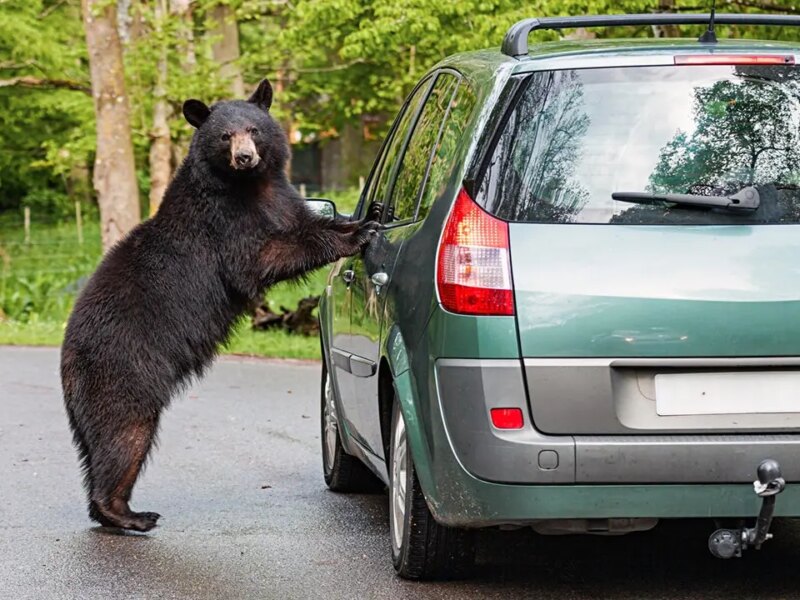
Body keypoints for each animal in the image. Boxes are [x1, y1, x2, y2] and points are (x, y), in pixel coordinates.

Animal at [60, 78, 377, 532]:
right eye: (225, 136)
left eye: (254, 129)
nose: (245, 157)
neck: (249, 186)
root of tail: (67, 356)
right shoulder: (223, 222)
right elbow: (260, 257)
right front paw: (357, 234)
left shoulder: (281, 198)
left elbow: (303, 222)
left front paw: (357, 221)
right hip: (123, 368)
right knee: (124, 433)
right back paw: (128, 513)